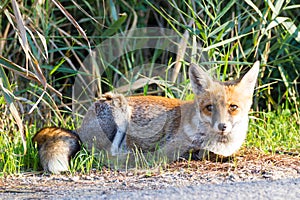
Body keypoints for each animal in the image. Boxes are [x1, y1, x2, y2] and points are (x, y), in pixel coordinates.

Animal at [31, 61, 258, 173]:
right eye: (210, 107)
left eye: (233, 107)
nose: (222, 126)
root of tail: (78, 128)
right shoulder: (170, 149)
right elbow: (199, 153)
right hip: (120, 110)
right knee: (106, 155)